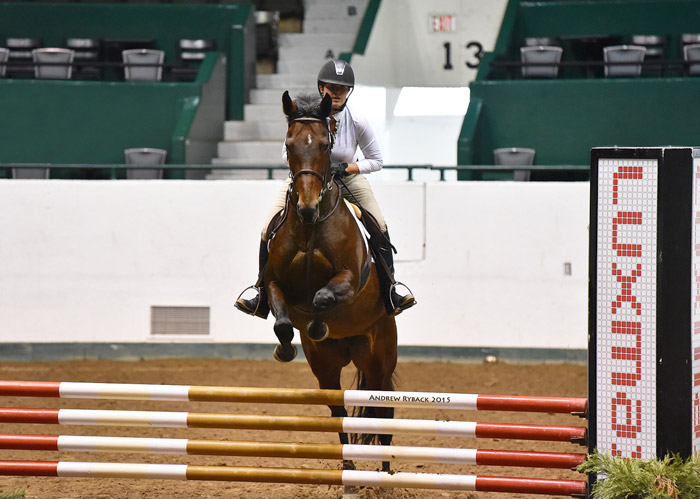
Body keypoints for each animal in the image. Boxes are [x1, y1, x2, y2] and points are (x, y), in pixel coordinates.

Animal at [264, 91, 396, 472]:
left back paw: (385, 472)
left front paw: (319, 324)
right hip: (326, 368)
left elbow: (323, 298)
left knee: (384, 410)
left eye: (325, 145)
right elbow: (282, 320)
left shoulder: (349, 280)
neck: (311, 228)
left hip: (381, 357)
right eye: (289, 145)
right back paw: (349, 464)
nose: (307, 208)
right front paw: (286, 346)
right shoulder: (275, 283)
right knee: (338, 409)